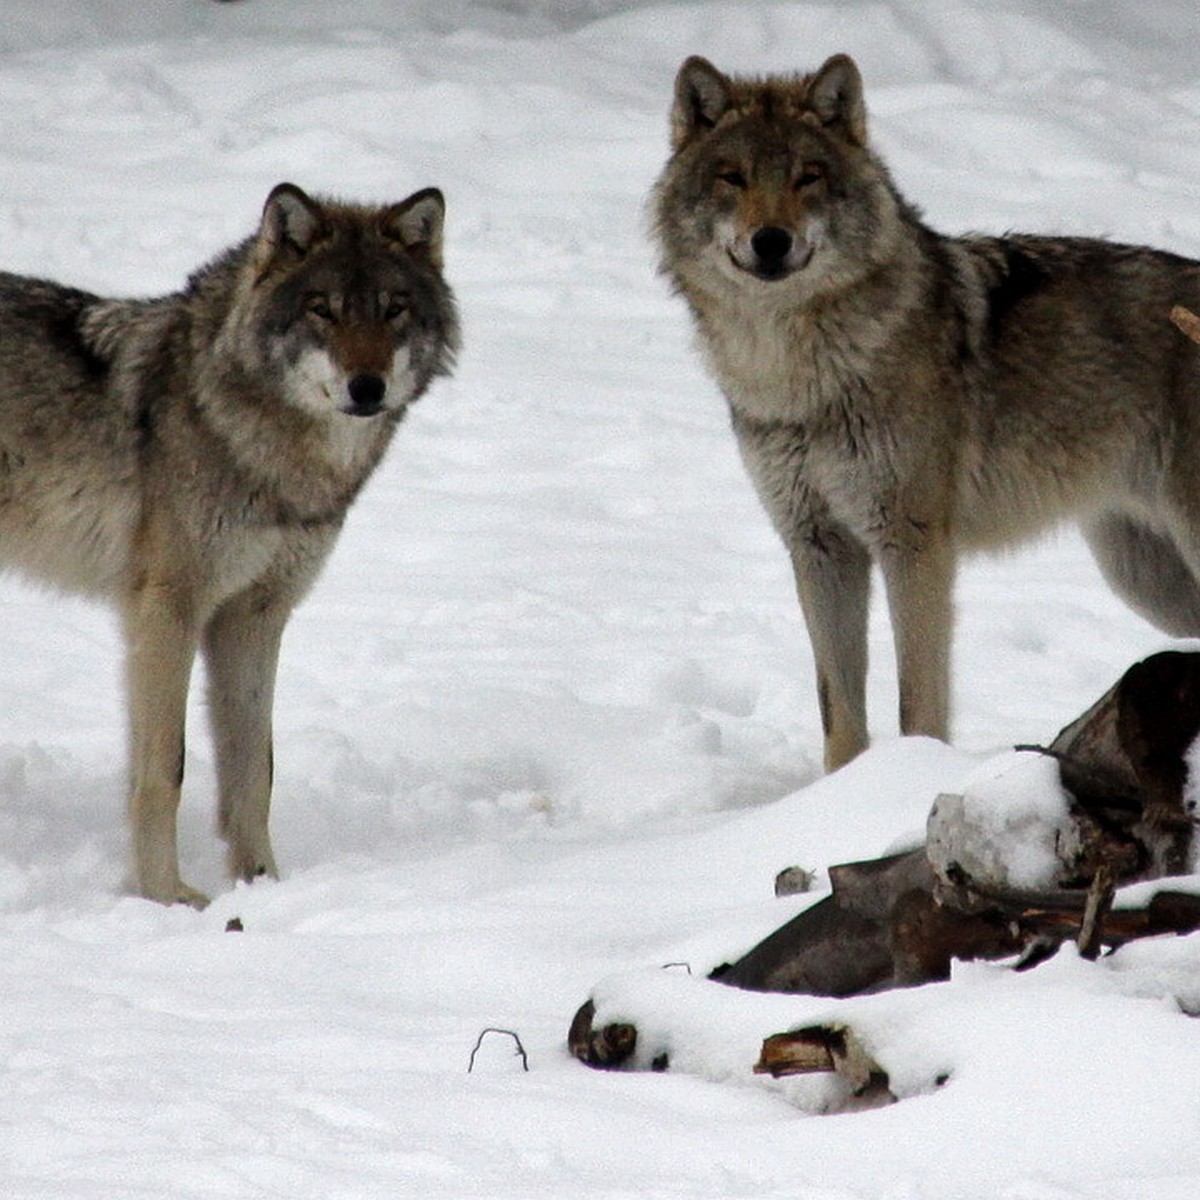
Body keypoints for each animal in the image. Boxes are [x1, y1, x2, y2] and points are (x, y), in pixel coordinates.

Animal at [0, 182, 458, 902]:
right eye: (322, 310)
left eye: (393, 309)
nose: (367, 387)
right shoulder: (168, 612)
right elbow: (166, 768)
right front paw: (167, 896)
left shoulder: (254, 616)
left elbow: (253, 770)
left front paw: (263, 886)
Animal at [652, 54, 1200, 768]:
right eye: (732, 178)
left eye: (808, 176)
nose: (771, 241)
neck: (800, 374)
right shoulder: (818, 544)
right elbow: (839, 711)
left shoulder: (912, 542)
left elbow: (917, 701)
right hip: (1145, 578)